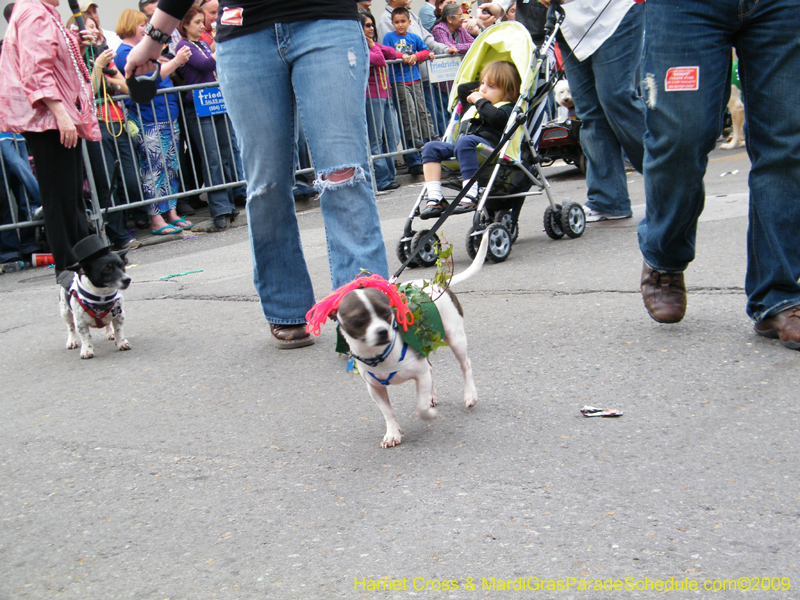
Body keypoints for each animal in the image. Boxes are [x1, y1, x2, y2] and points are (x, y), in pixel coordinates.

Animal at [332, 227, 490, 448]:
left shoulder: (419, 375)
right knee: (432, 368)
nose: (382, 332)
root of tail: (436, 283)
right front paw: (392, 433)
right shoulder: (375, 389)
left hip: (456, 338)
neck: (380, 356)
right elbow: (388, 412)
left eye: (386, 312)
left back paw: (470, 396)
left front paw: (429, 414)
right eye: (358, 319)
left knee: (465, 365)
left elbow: (420, 408)